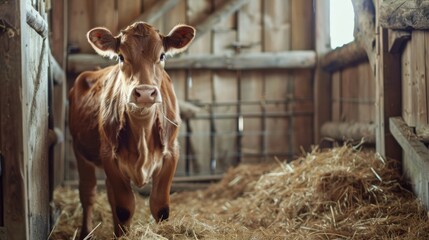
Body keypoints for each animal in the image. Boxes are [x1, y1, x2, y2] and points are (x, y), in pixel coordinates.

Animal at [69, 22, 196, 238]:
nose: (144, 93)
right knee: (88, 193)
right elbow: (124, 208)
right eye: (121, 56)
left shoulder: (172, 153)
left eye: (162, 55)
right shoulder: (109, 156)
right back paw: (87, 232)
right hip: (80, 152)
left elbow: (160, 207)